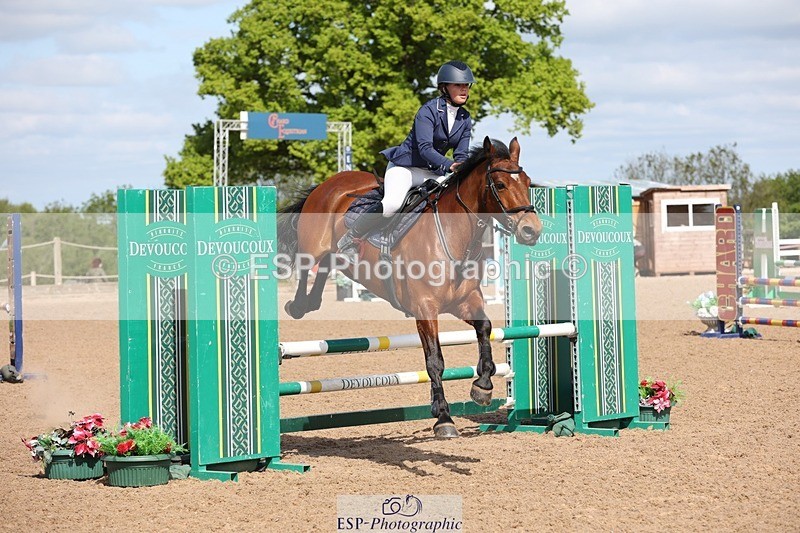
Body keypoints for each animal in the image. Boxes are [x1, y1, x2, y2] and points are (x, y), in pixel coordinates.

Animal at [278, 136, 542, 438]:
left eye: (527, 182)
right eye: (500, 184)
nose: (532, 230)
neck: (453, 235)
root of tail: (331, 182)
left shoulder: (465, 302)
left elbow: (485, 329)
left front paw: (482, 387)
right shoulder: (425, 309)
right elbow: (435, 360)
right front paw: (444, 418)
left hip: (335, 258)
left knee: (324, 267)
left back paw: (310, 302)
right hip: (313, 247)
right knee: (306, 267)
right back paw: (297, 306)